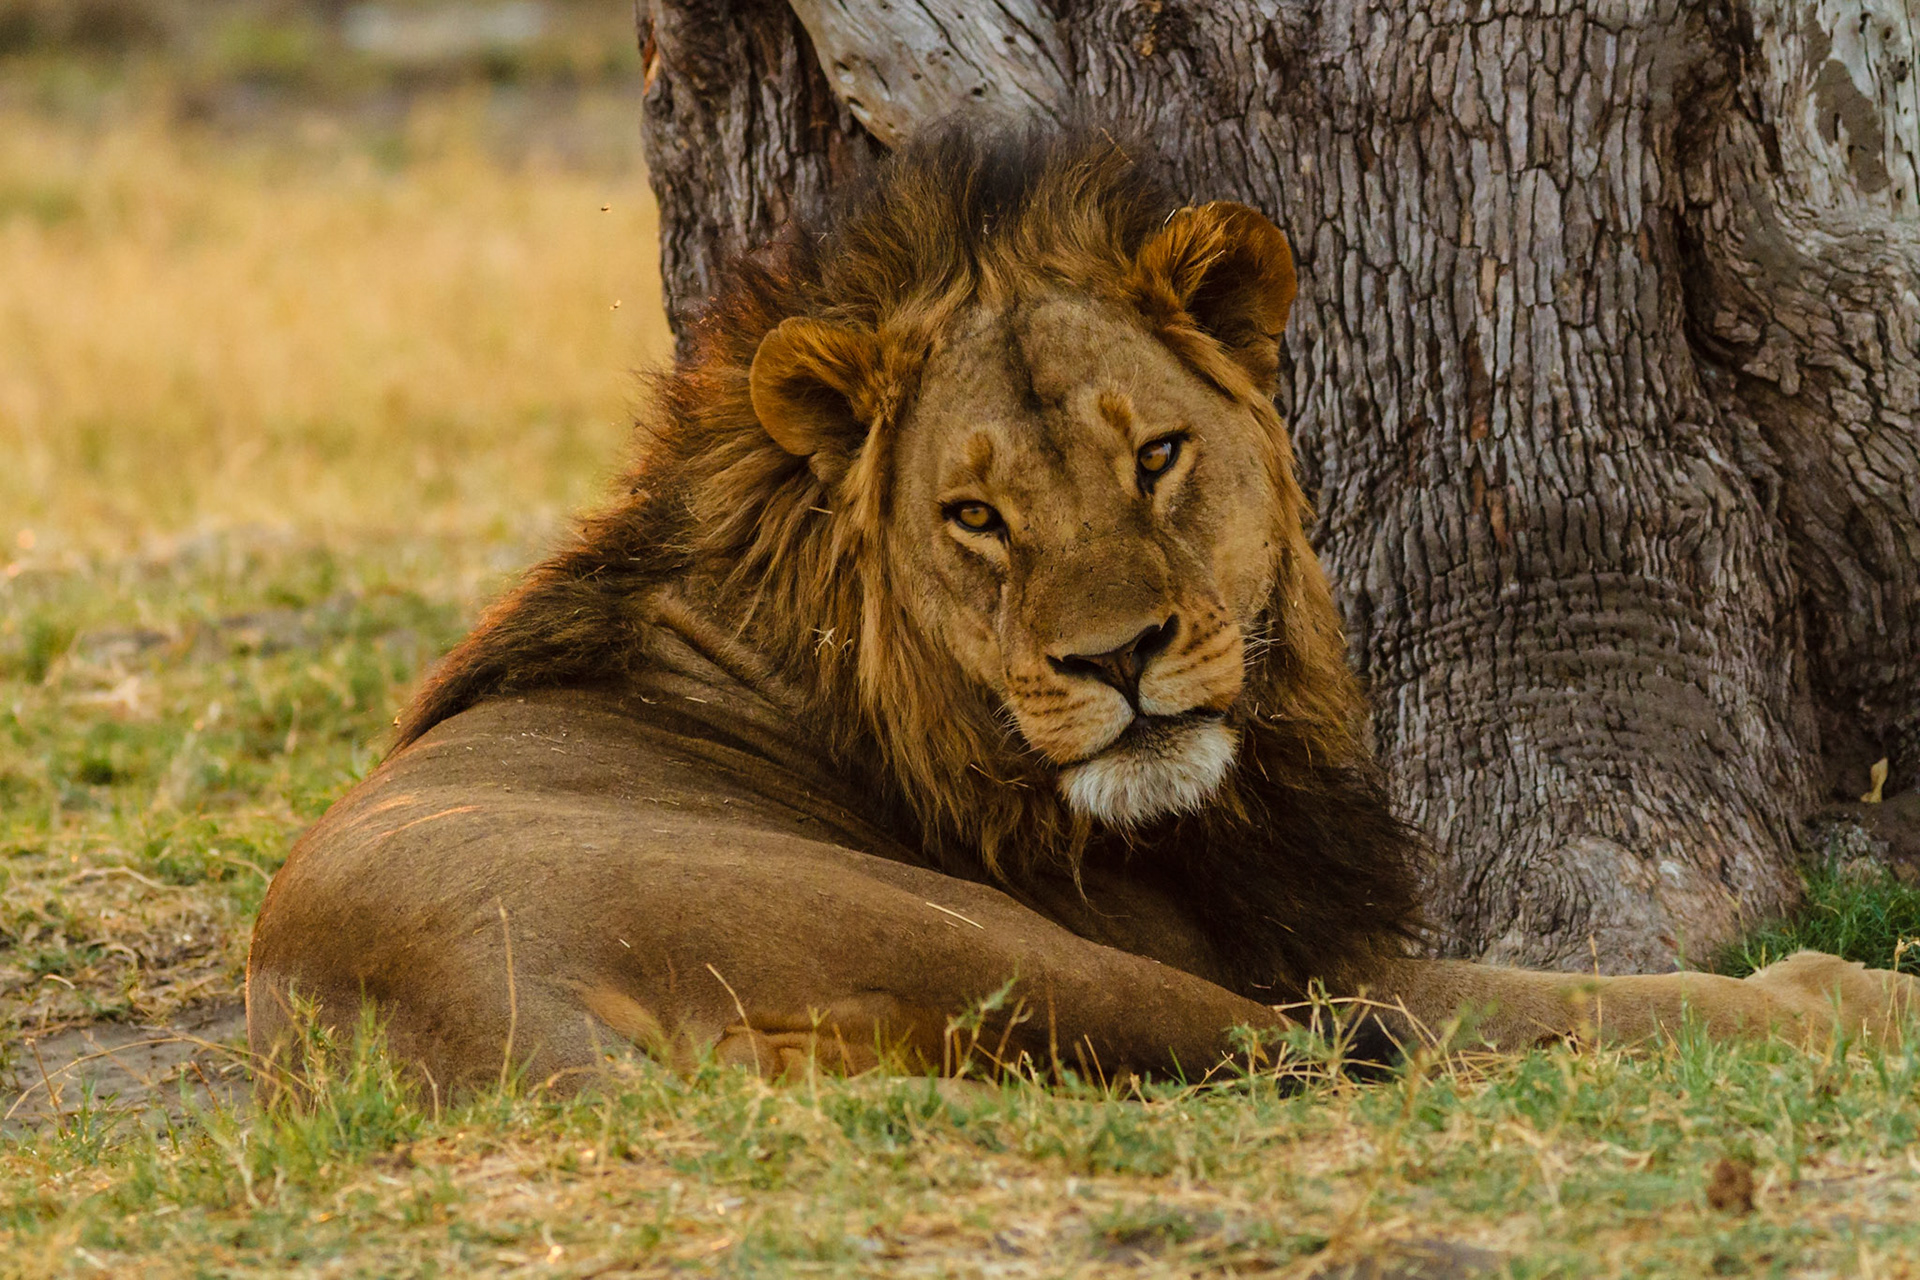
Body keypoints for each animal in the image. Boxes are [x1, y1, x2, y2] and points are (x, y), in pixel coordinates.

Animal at [246, 126, 1916, 1092]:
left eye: (1156, 454)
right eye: (973, 516)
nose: (1118, 659)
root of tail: (492, 1012)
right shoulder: (1306, 953)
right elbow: (1588, 994)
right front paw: (1846, 994)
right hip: (1006, 947)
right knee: (1378, 1049)